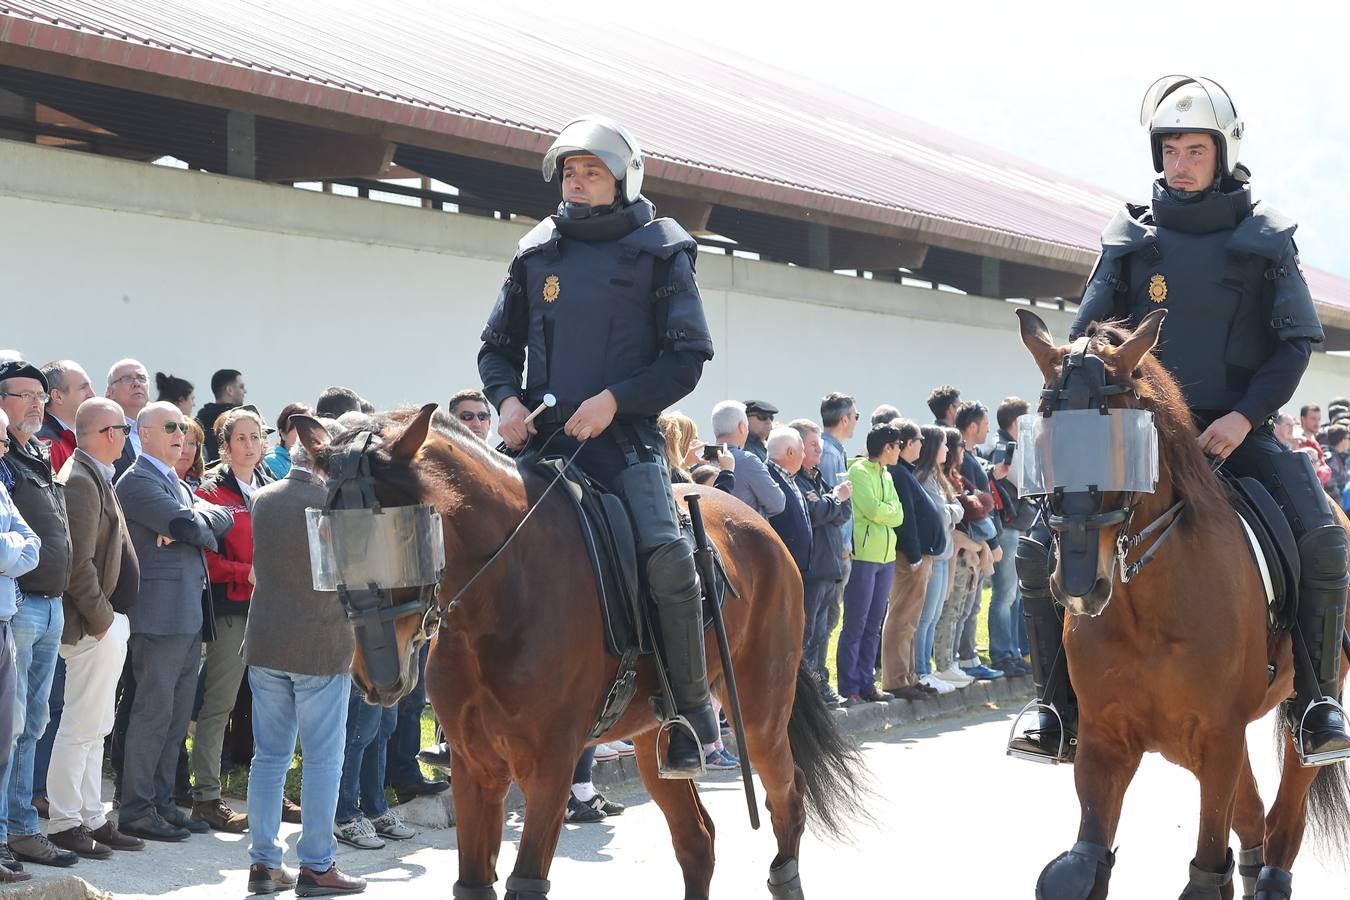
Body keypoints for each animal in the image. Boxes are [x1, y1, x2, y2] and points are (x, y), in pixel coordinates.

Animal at [294, 404, 864, 895]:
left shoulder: (549, 765)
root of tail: (762, 526)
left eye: (399, 535)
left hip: (761, 717)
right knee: (697, 841)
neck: (499, 594)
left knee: (787, 803)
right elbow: (474, 883)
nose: (377, 677)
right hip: (654, 741)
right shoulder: (476, 769)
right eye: (324, 539)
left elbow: (525, 882)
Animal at [1015, 306, 1344, 895]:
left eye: (1125, 441)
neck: (1145, 611)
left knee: (1284, 817)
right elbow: (1082, 865)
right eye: (1044, 441)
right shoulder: (1106, 742)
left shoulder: (1218, 737)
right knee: (1253, 820)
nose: (1078, 585)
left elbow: (1208, 869)